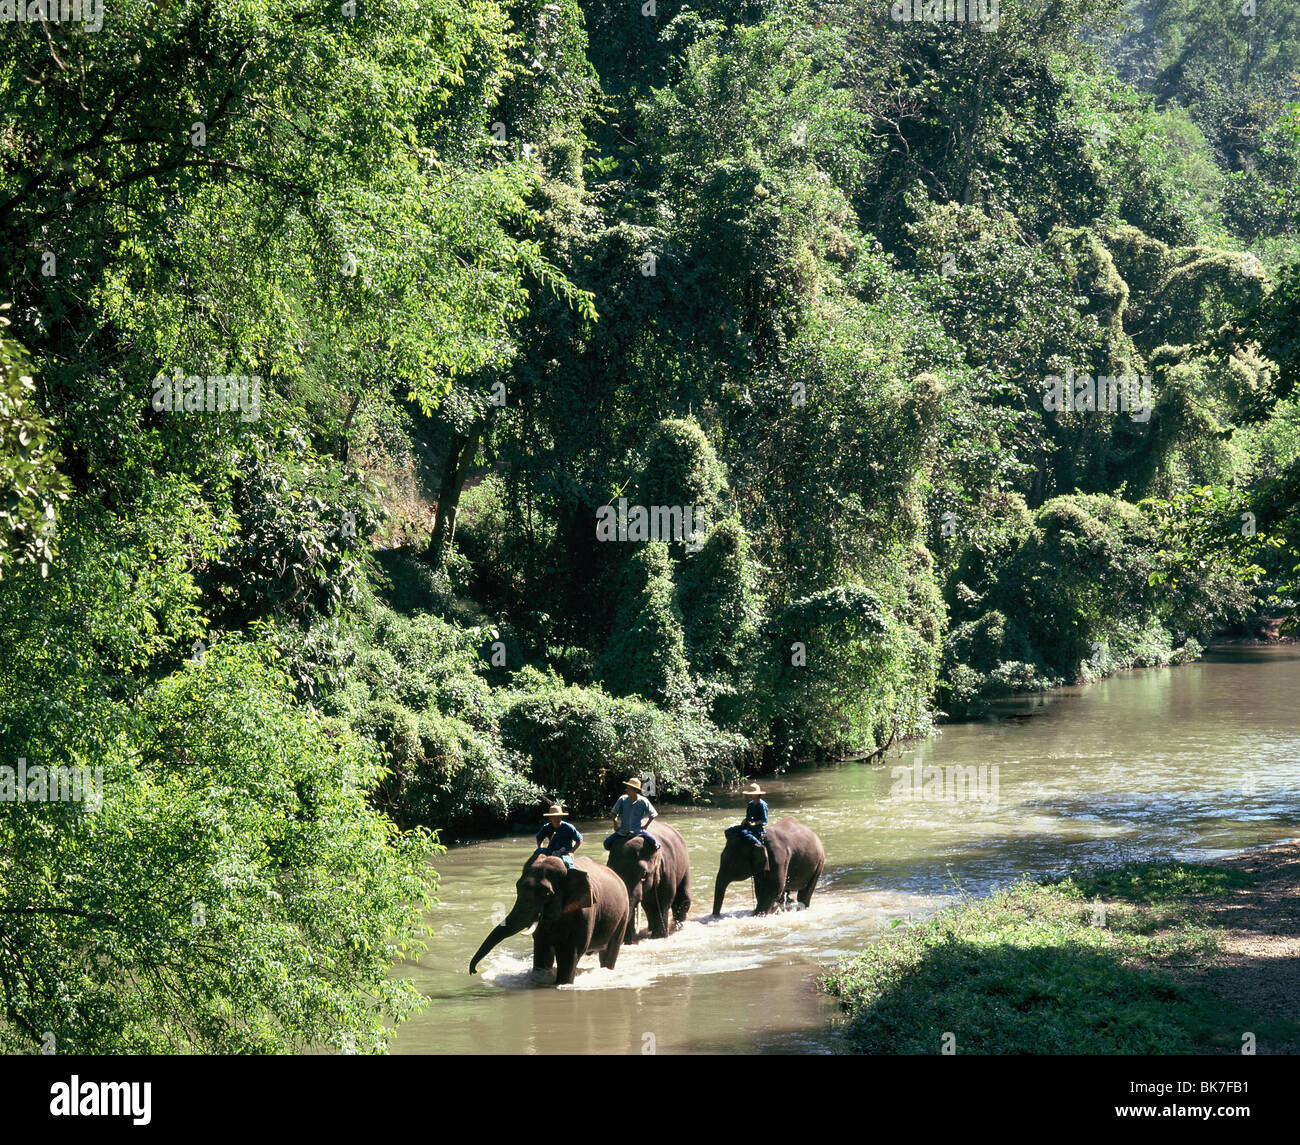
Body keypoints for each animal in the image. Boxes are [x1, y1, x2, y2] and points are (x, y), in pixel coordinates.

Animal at [470, 852, 631, 987]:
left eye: (546, 894)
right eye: (517, 887)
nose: (473, 971)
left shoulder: (585, 913)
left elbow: (569, 954)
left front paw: (562, 984)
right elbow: (542, 950)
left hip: (624, 913)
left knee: (610, 951)